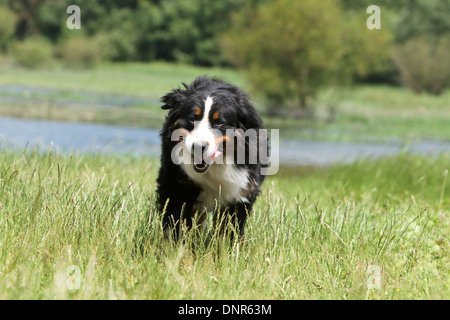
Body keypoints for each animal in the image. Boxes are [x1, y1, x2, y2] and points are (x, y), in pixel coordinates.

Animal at [156, 75, 266, 240]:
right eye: (192, 118)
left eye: (219, 122)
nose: (198, 146)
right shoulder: (176, 187)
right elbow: (176, 224)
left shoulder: (241, 194)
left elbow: (228, 233)